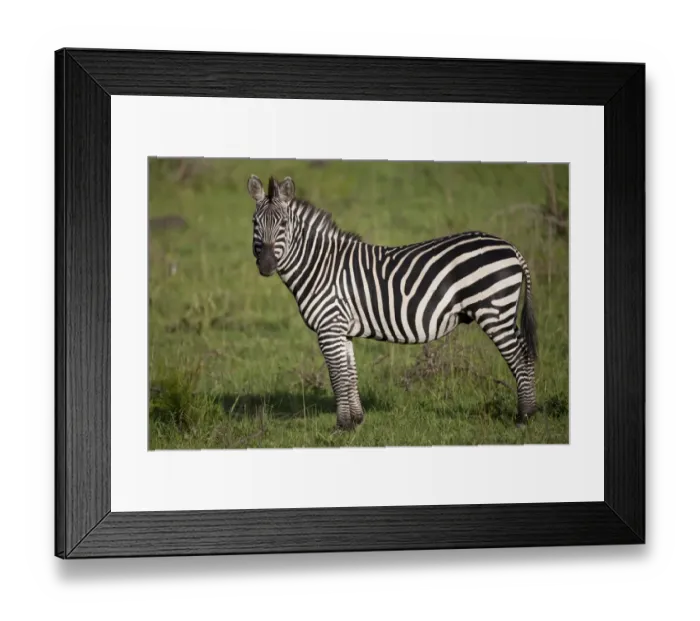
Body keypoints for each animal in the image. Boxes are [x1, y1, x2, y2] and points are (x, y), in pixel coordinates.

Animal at [248, 174, 538, 432]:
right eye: (255, 223)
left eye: (284, 223)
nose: (266, 266)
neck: (321, 266)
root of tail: (511, 248)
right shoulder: (342, 329)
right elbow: (350, 373)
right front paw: (356, 422)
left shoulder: (329, 328)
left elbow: (337, 376)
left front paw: (341, 426)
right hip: (504, 312)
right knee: (526, 353)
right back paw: (531, 412)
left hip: (494, 311)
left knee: (519, 356)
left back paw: (524, 417)